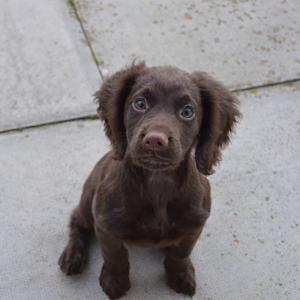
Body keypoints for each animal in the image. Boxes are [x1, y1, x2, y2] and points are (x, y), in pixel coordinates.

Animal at [58, 60, 241, 298]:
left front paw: (180, 276)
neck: (158, 183)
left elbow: (180, 254)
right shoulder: (105, 225)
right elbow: (115, 256)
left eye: (187, 112)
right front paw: (115, 282)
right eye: (140, 104)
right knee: (77, 221)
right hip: (89, 201)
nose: (155, 140)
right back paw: (73, 255)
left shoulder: (194, 226)